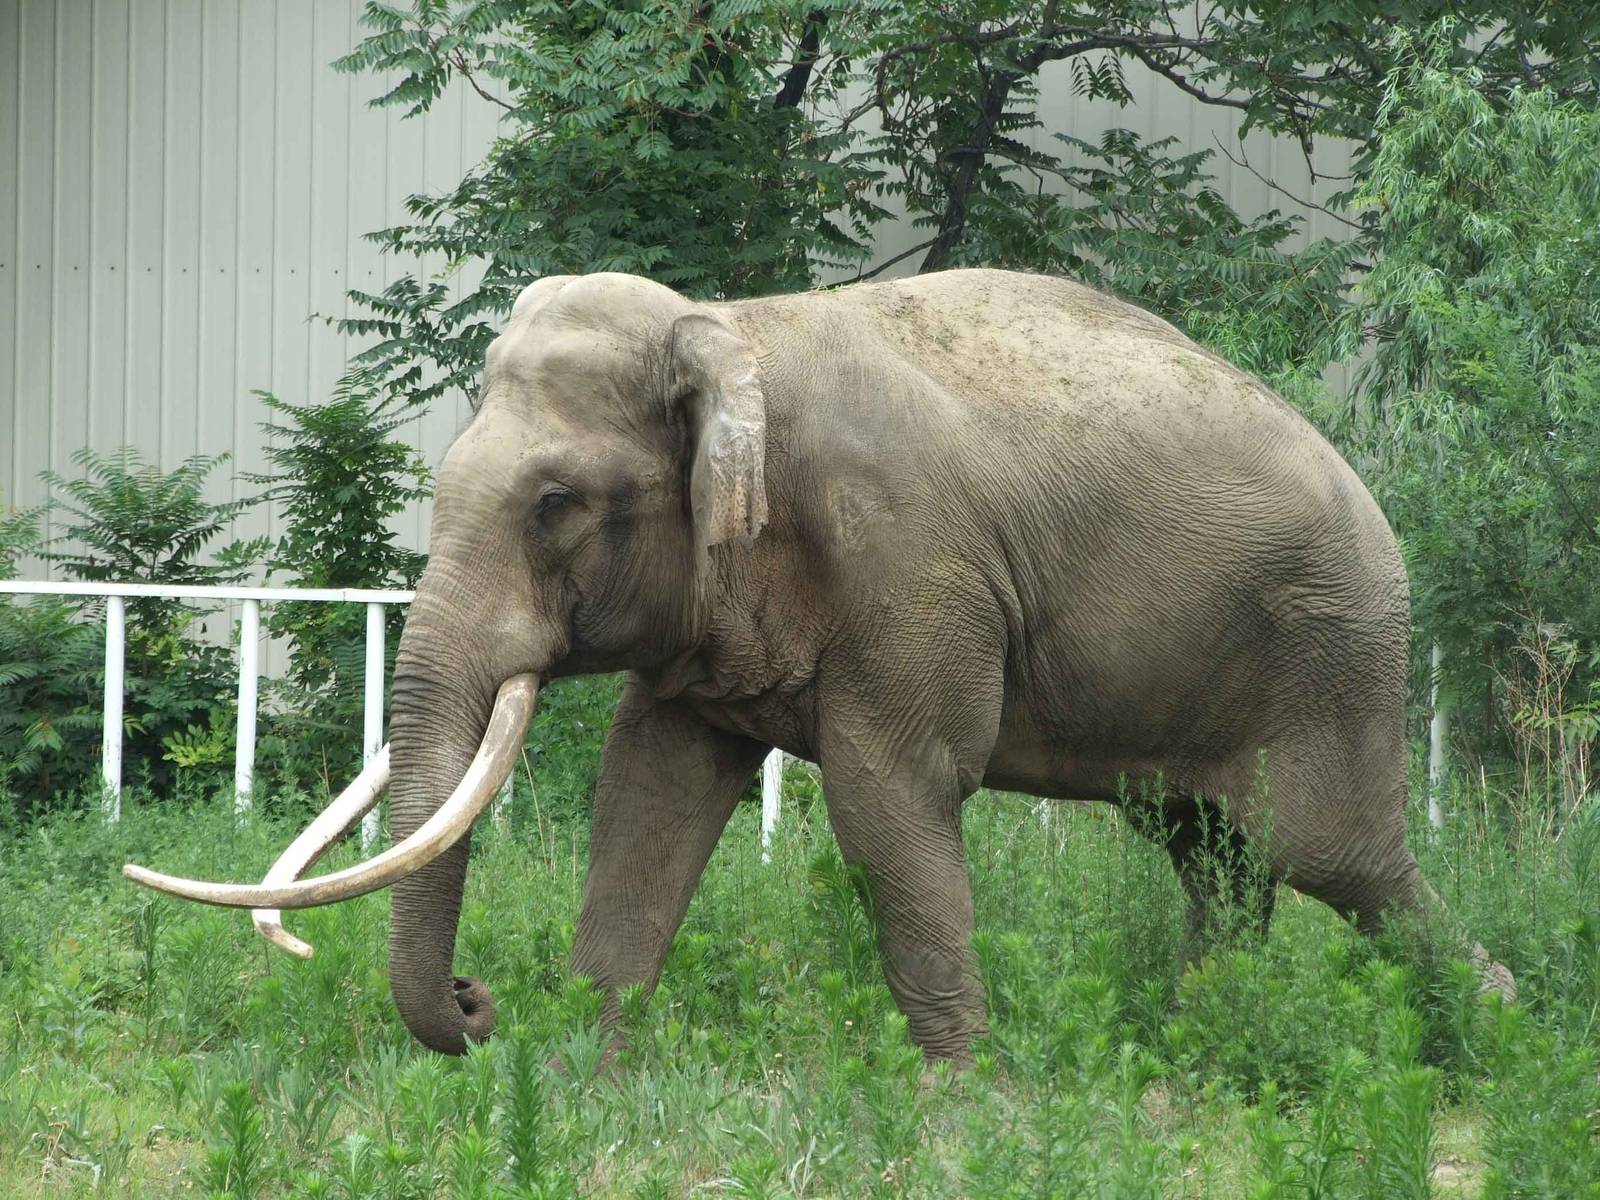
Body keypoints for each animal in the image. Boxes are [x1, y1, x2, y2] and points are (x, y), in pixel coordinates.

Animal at [126, 268, 1512, 1061]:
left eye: (557, 504)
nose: (475, 1000)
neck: (730, 334)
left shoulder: (912, 564)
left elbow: (891, 799)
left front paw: (963, 1102)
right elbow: (649, 792)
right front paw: (575, 1075)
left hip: (1327, 649)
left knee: (1328, 855)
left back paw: (1497, 1031)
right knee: (1215, 856)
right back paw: (1197, 1044)